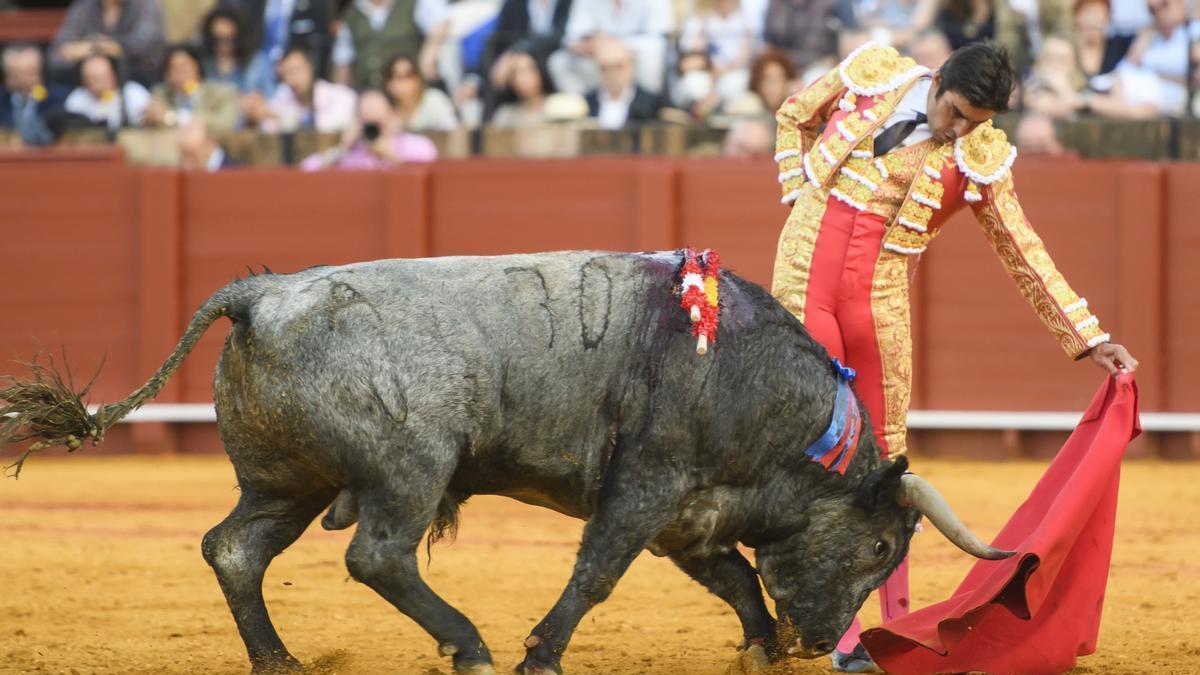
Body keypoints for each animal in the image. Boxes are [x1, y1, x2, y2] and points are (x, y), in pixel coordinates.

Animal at [2, 252, 1012, 672]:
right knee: (377, 555)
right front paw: (540, 655)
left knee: (235, 549)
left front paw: (761, 649)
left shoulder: (690, 515)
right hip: (407, 467)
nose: (819, 639)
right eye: (881, 549)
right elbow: (598, 572)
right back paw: (471, 647)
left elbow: (731, 577)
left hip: (288, 483)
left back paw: (281, 661)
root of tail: (260, 294)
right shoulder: (646, 486)